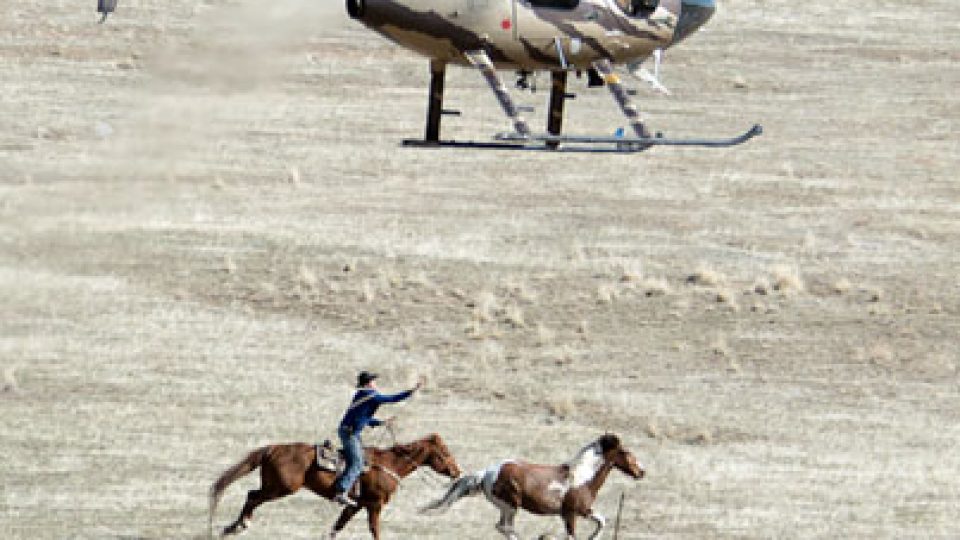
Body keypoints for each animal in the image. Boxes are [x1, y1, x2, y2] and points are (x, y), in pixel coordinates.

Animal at [209, 433, 461, 539]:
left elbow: (337, 527)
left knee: (251, 495)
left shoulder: (355, 505)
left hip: (274, 487)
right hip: (281, 488)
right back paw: (239, 526)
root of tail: (273, 448)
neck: (389, 464)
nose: (457, 472)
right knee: (253, 497)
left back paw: (233, 527)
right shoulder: (374, 505)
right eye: (445, 452)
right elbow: (374, 529)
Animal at [422, 433, 644, 540]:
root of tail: (487, 473)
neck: (582, 478)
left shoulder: (584, 510)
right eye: (625, 452)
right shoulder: (570, 514)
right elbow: (571, 535)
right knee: (504, 527)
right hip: (511, 505)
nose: (641, 472)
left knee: (502, 527)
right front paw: (547, 536)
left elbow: (602, 522)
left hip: (507, 507)